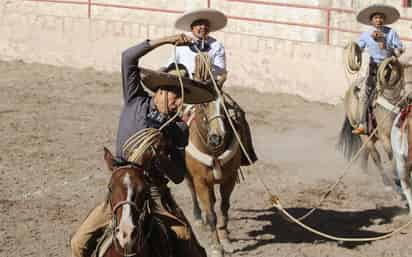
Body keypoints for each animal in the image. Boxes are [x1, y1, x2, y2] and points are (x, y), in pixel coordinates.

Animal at [184, 94, 241, 256]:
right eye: (203, 104)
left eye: (225, 104)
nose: (217, 137)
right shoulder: (200, 182)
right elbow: (210, 214)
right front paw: (216, 246)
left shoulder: (230, 178)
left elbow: (224, 208)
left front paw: (225, 239)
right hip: (189, 176)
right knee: (192, 191)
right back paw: (197, 217)